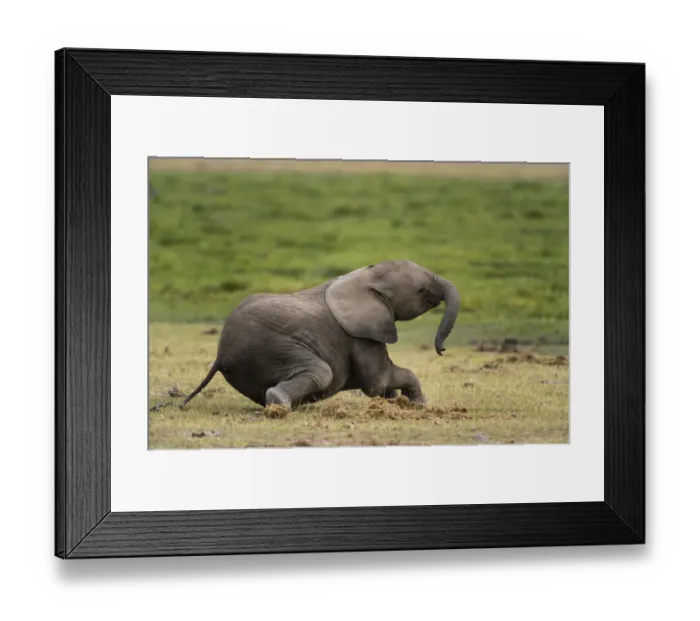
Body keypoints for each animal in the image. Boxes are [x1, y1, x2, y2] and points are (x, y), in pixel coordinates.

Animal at [181, 259, 460, 411]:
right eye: (421, 290)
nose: (442, 349)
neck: (365, 276)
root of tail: (220, 354)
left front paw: (396, 403)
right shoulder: (360, 334)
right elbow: (378, 380)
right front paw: (420, 405)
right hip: (270, 348)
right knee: (321, 372)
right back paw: (280, 407)